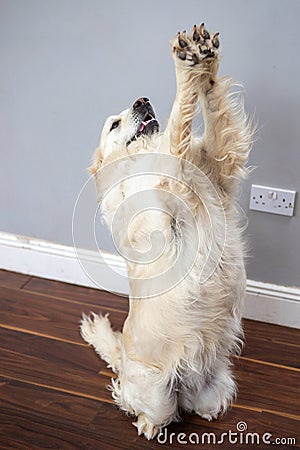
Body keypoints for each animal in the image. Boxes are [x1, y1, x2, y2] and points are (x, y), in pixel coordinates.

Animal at [80, 22, 253, 442]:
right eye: (114, 124)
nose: (142, 99)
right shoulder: (165, 202)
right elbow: (177, 127)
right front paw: (185, 67)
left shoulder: (221, 161)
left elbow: (211, 109)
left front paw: (204, 57)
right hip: (155, 393)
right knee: (145, 408)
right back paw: (143, 419)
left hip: (219, 384)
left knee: (201, 405)